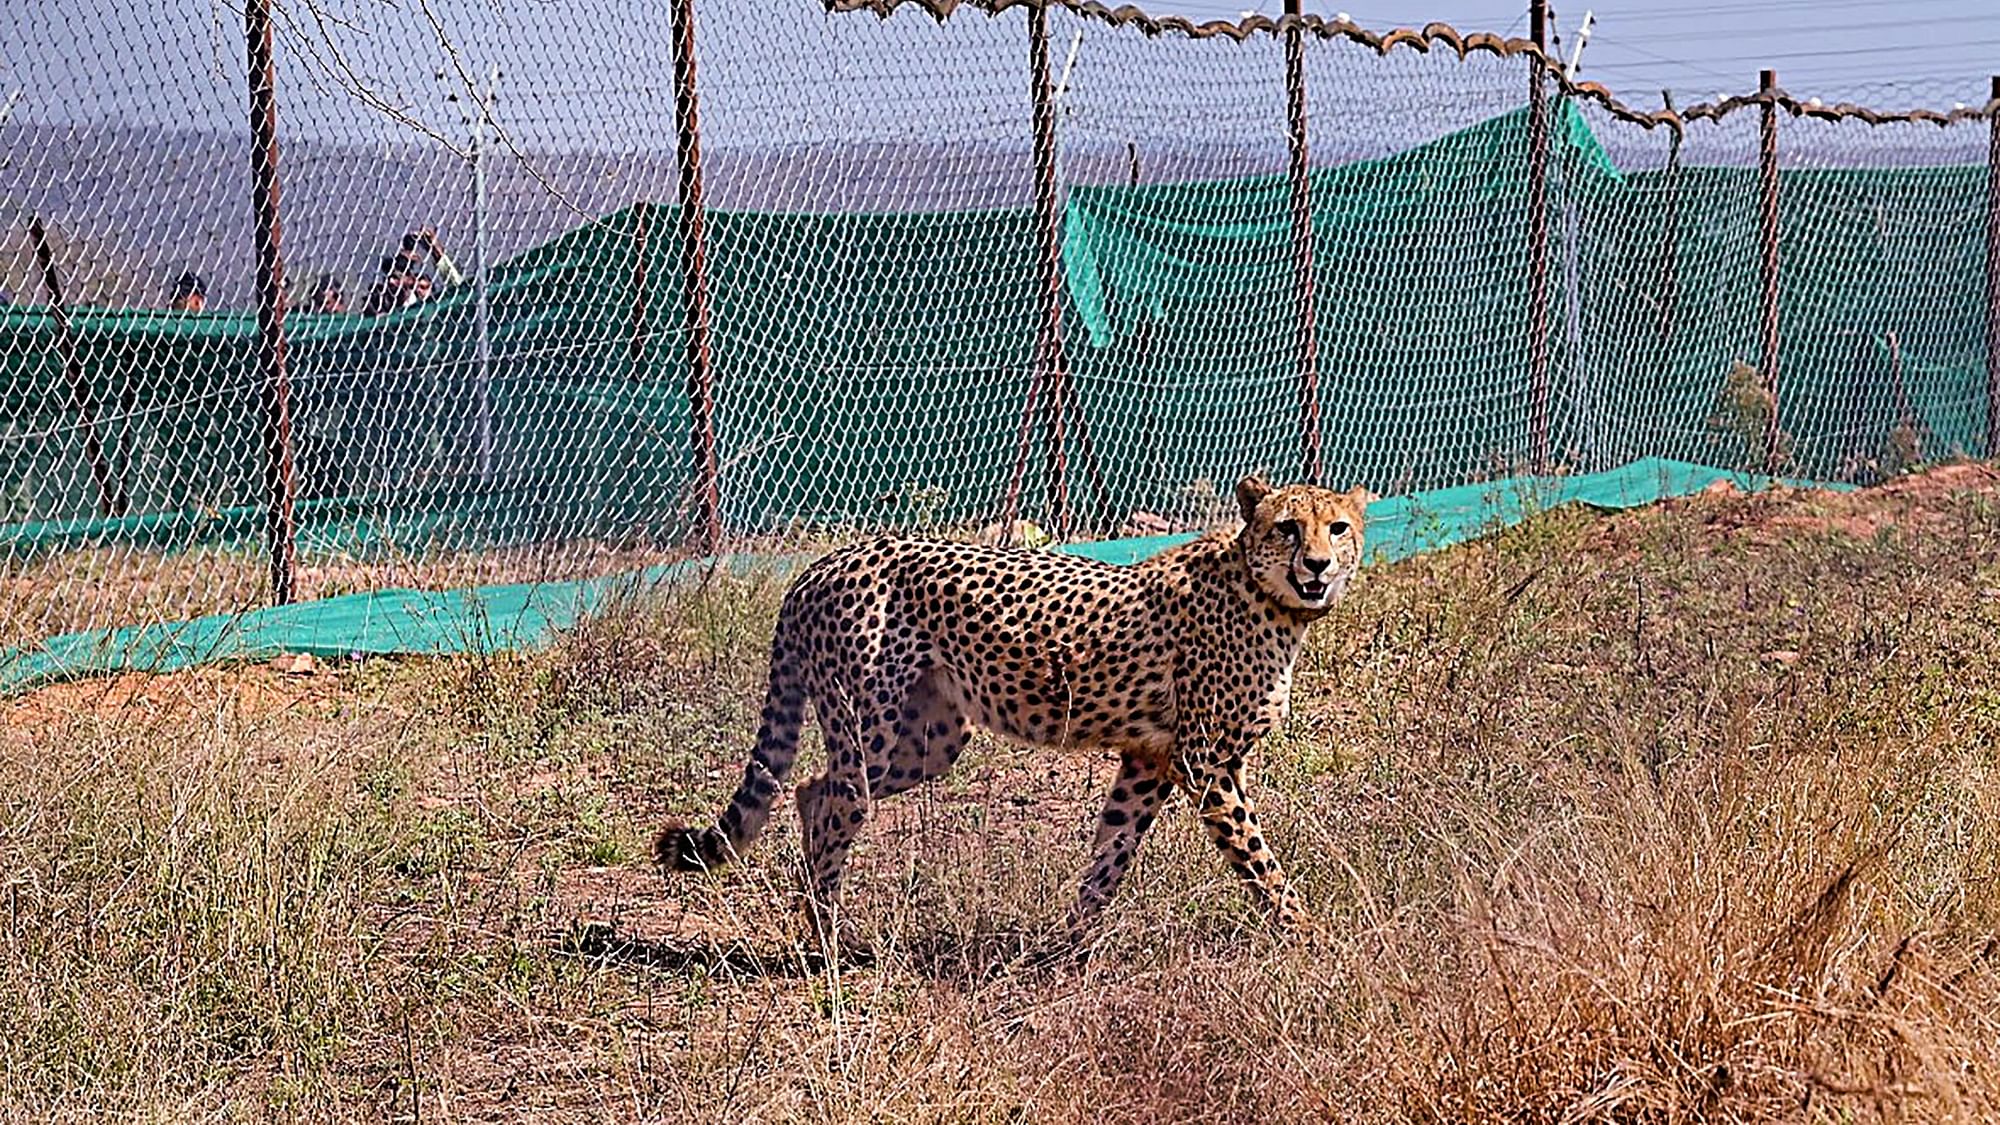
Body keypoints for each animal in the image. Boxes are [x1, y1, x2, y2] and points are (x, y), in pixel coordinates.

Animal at [660, 470, 1376, 936]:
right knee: (839, 804)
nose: (1317, 564)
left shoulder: (1149, 759)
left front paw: (1067, 946)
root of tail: (825, 563)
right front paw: (1308, 936)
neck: (1271, 599)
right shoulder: (1205, 763)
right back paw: (829, 942)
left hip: (930, 743)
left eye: (1338, 528)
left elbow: (1111, 853)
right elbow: (1258, 858)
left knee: (813, 790)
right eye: (1288, 528)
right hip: (872, 729)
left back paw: (825, 923)